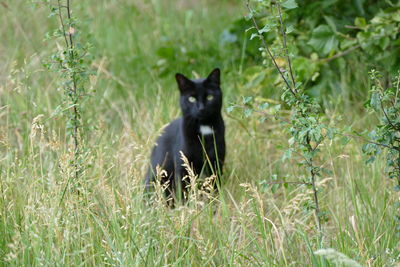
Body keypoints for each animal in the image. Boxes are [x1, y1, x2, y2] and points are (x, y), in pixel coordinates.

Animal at [145, 68, 227, 202]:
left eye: (210, 97)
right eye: (191, 99)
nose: (201, 108)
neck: (204, 129)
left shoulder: (216, 162)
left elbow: (214, 186)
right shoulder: (183, 165)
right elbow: (184, 189)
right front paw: (185, 205)